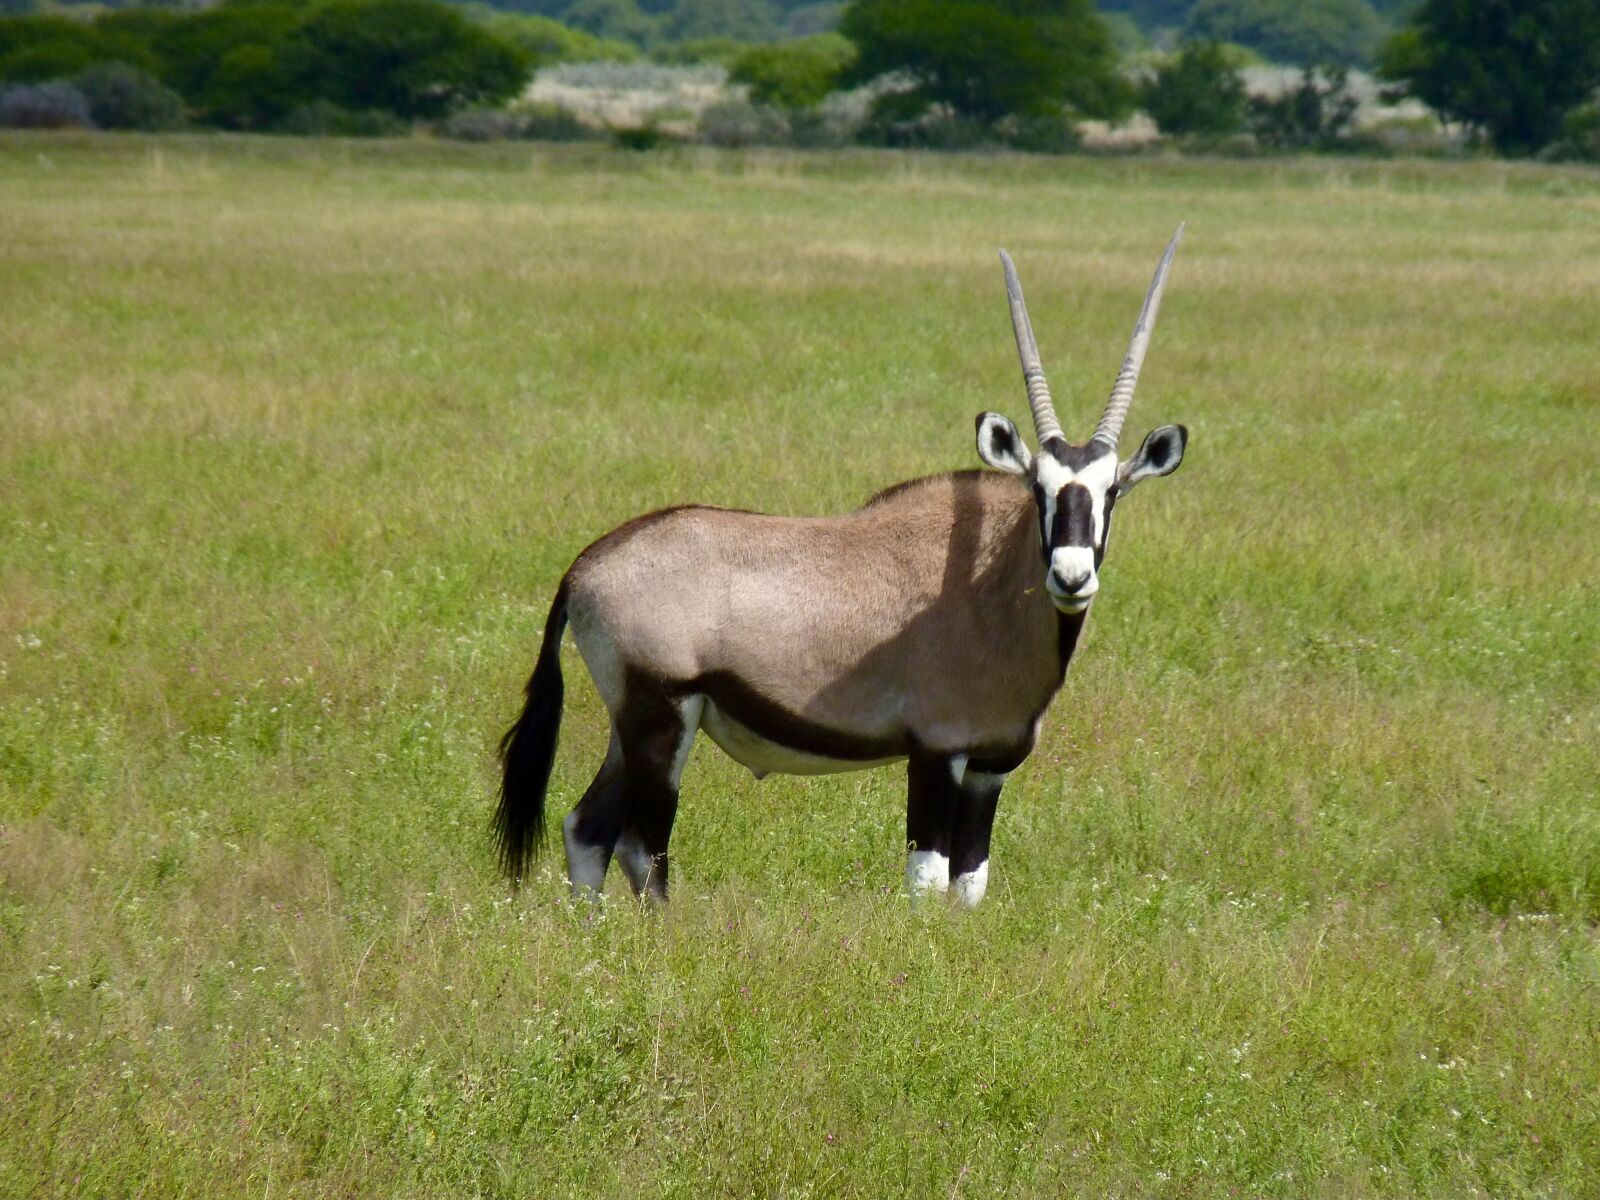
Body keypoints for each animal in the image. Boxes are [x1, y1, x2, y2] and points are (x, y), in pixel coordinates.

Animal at [499, 230, 1190, 908]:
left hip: (632, 724)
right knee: (642, 850)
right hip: (662, 718)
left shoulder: (988, 768)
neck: (986, 583)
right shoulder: (936, 753)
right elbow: (926, 881)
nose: (1071, 578)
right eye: (1040, 489)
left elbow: (969, 885)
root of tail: (585, 569)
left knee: (586, 829)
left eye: (1112, 491)